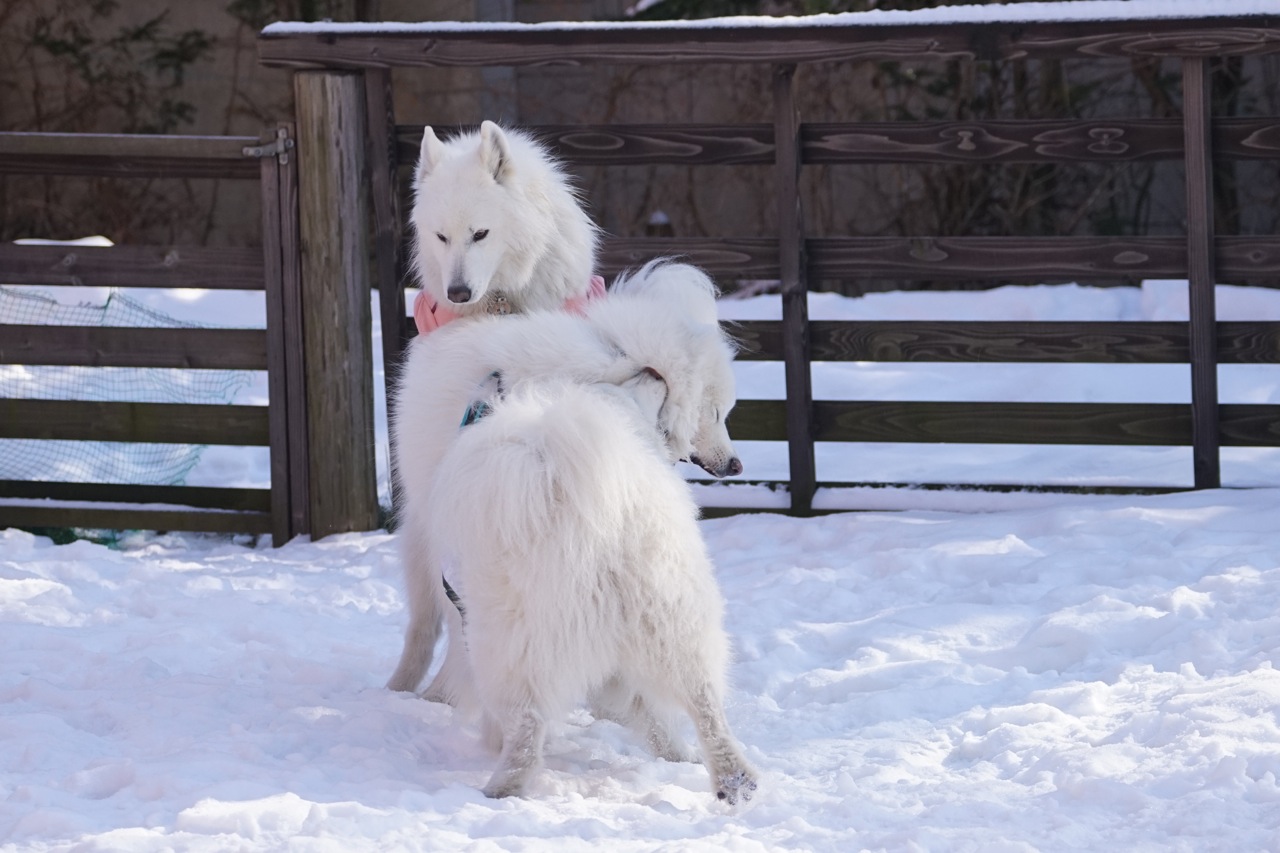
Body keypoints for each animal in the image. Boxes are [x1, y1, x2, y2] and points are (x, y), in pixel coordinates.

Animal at [427, 368, 757, 799]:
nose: (653, 372)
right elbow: (645, 712)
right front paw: (676, 756)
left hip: (511, 644)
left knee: (526, 727)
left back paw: (502, 786)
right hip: (674, 620)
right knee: (705, 704)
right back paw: (734, 781)